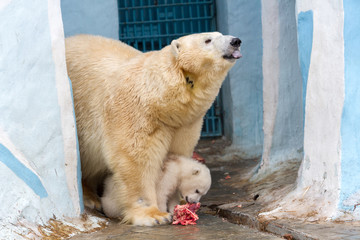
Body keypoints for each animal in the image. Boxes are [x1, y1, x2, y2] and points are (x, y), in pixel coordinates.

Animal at [65, 31, 242, 225]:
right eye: (208, 40)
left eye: (220, 34)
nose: (235, 41)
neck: (160, 98)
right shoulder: (136, 113)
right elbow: (135, 159)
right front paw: (154, 215)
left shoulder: (184, 124)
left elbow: (177, 154)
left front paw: (178, 201)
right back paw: (90, 198)